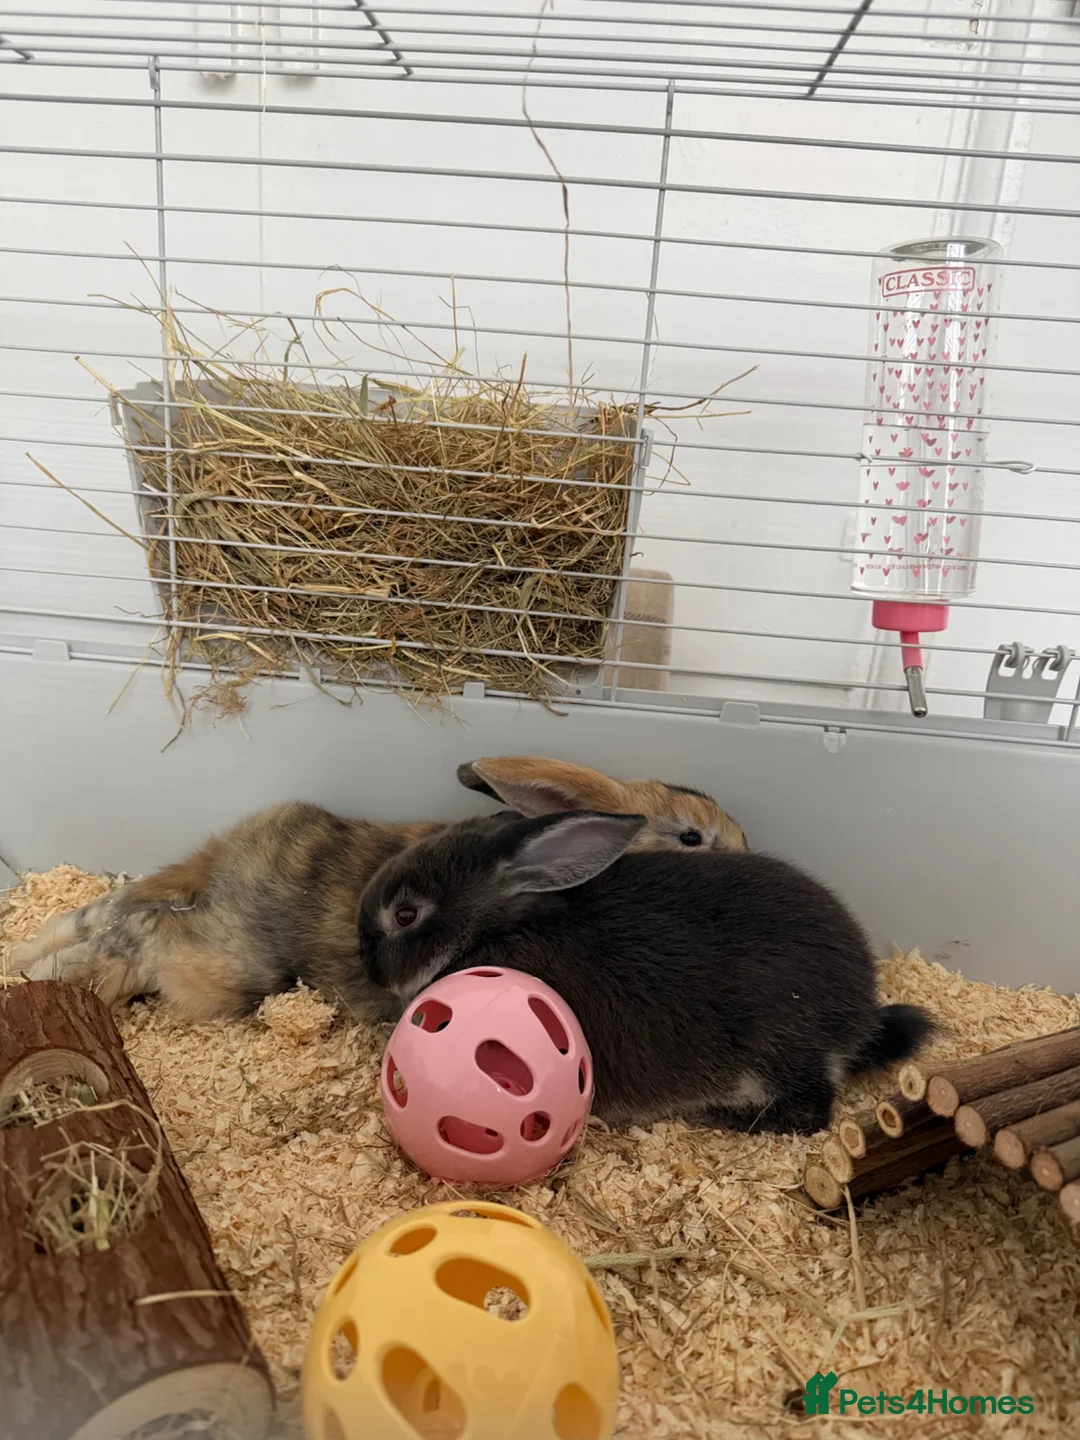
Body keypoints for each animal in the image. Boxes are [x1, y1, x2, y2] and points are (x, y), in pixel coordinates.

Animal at [356, 810, 934, 1133]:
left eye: (405, 915)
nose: (367, 961)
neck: (497, 925)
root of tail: (859, 1022)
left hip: (775, 1052)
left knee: (811, 1112)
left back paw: (722, 1118)